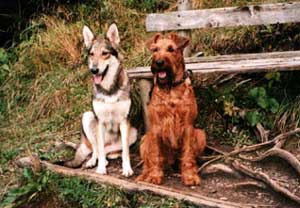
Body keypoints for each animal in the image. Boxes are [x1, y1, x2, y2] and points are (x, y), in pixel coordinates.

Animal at [65, 24, 138, 177]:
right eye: (92, 54)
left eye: (105, 53)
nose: (94, 70)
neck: (108, 89)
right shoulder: (100, 121)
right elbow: (99, 149)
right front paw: (100, 169)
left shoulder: (124, 121)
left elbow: (126, 152)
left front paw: (127, 168)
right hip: (87, 117)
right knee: (97, 150)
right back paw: (96, 161)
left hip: (133, 132)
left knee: (112, 151)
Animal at [137, 33, 207, 186]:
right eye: (155, 49)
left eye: (171, 49)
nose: (159, 62)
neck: (170, 88)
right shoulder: (156, 127)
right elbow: (155, 155)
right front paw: (154, 176)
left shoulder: (188, 127)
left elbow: (188, 154)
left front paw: (190, 176)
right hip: (145, 139)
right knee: (148, 162)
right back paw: (144, 175)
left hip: (200, 134)